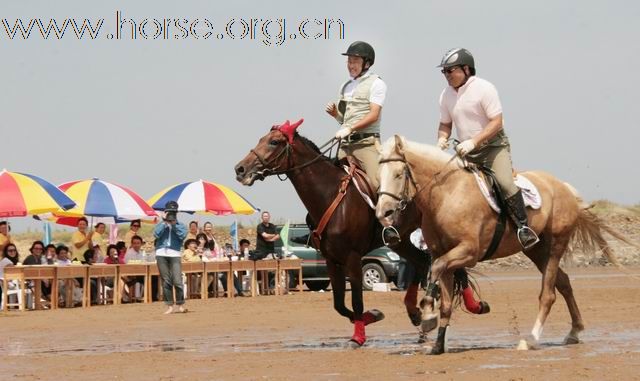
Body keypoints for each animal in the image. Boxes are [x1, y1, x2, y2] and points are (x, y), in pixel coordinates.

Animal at [236, 120, 444, 346]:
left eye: (274, 142)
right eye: (262, 139)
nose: (240, 169)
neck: (329, 194)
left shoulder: (352, 258)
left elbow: (357, 301)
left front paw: (359, 336)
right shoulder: (331, 260)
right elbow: (340, 305)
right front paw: (372, 316)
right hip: (400, 240)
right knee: (421, 262)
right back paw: (416, 315)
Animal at [376, 136, 640, 354]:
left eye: (399, 174)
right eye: (379, 176)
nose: (383, 214)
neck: (447, 195)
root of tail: (563, 187)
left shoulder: (468, 253)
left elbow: (438, 268)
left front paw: (427, 313)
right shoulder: (444, 253)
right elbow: (446, 297)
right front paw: (438, 343)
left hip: (555, 246)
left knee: (548, 294)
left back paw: (531, 339)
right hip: (537, 250)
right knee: (564, 283)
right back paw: (574, 331)